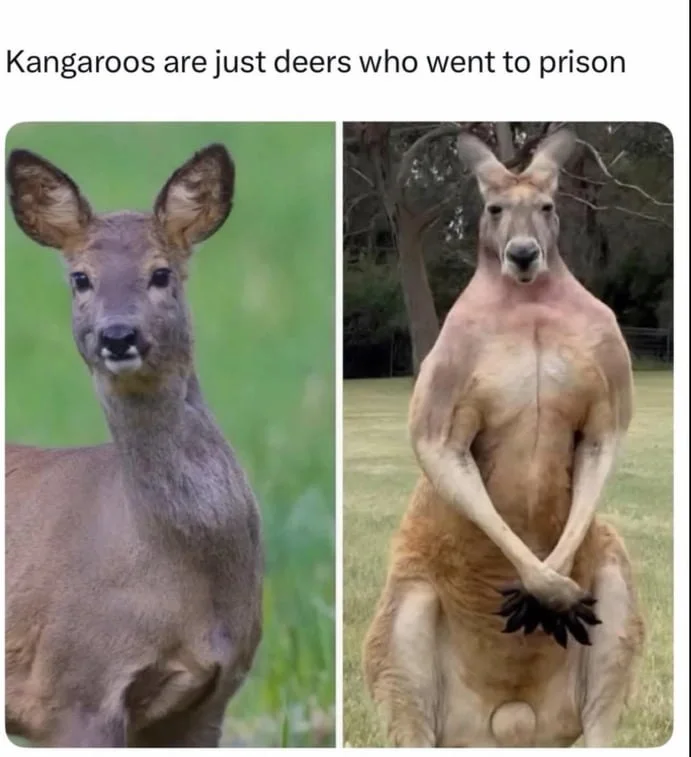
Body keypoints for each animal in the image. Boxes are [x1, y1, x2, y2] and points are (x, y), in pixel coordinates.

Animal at [362, 129, 644, 747]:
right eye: (493, 209)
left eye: (548, 207)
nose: (522, 254)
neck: (528, 304)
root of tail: (512, 723)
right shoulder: (446, 371)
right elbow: (439, 446)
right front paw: (542, 582)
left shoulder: (609, 361)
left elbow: (601, 440)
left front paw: (550, 583)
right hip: (404, 620)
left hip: (614, 585)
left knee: (602, 710)